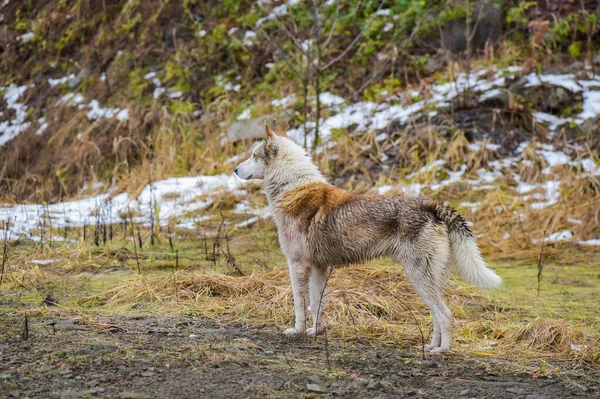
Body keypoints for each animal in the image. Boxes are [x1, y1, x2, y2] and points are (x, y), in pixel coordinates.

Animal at [234, 119, 502, 354]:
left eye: (254, 155)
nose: (235, 169)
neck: (292, 186)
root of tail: (432, 207)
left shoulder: (297, 265)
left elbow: (300, 305)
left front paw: (297, 331)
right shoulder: (319, 268)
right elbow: (316, 304)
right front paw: (316, 332)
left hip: (418, 278)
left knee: (446, 315)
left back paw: (442, 351)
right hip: (429, 280)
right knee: (437, 315)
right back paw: (431, 346)